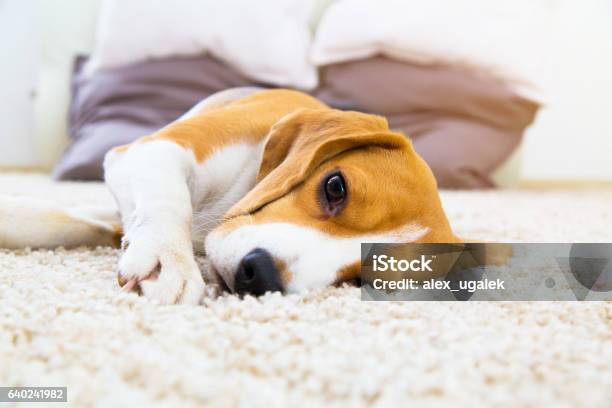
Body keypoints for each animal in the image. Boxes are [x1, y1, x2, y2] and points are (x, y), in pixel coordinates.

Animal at [0, 88, 464, 302]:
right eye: (335, 187)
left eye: (360, 279)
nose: (260, 275)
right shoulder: (153, 150)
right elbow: (168, 205)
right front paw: (167, 260)